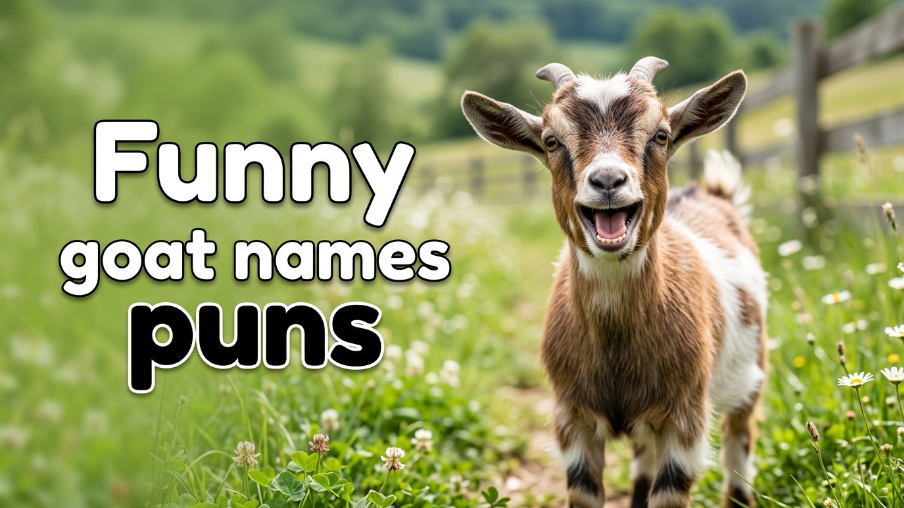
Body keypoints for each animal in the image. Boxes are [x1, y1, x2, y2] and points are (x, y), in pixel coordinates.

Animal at [460, 57, 766, 508]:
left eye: (661, 135)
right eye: (551, 141)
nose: (607, 181)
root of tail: (714, 193)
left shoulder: (684, 420)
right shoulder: (573, 420)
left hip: (751, 376)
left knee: (739, 447)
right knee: (643, 461)